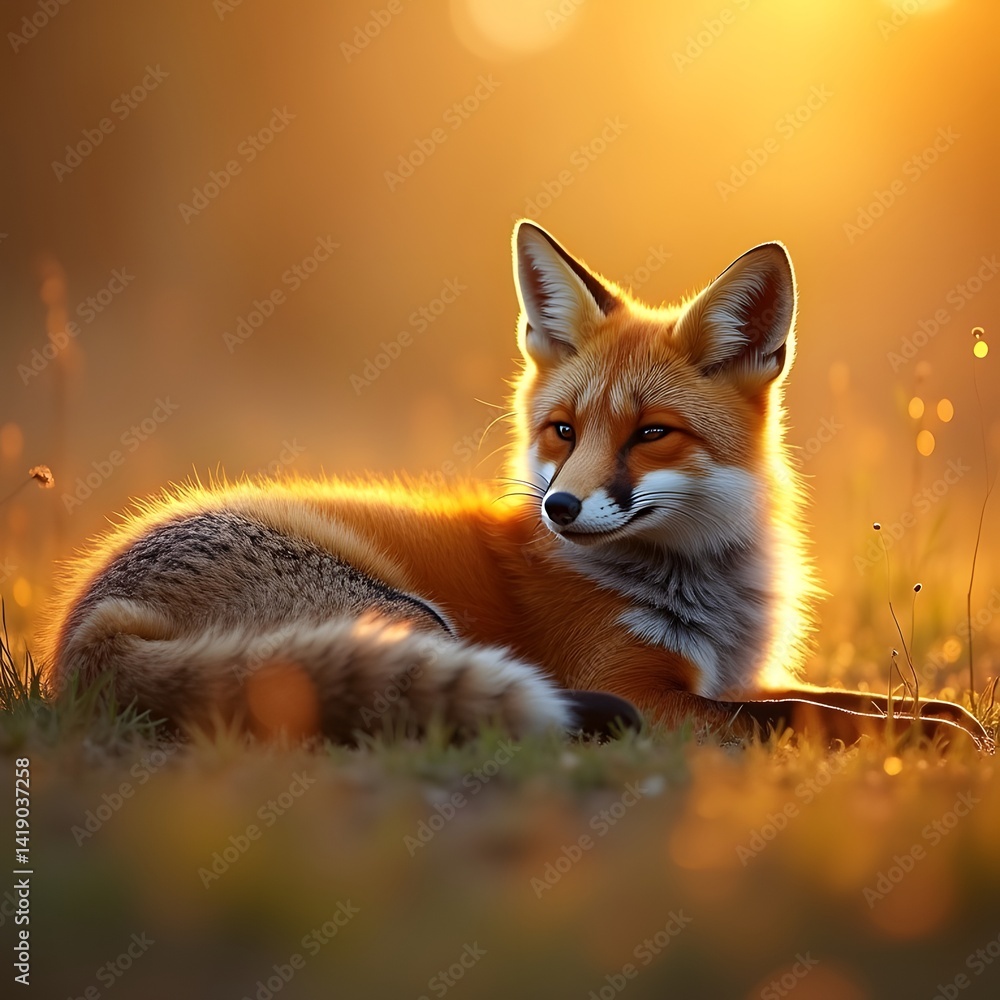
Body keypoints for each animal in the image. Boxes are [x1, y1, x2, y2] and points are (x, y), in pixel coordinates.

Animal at [42, 222, 991, 752]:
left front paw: (953, 718)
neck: (704, 587)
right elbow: (814, 717)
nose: (560, 507)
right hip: (407, 616)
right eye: (562, 431)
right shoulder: (654, 689)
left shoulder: (721, 680)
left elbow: (849, 697)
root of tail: (86, 626)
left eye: (651, 433)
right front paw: (928, 739)